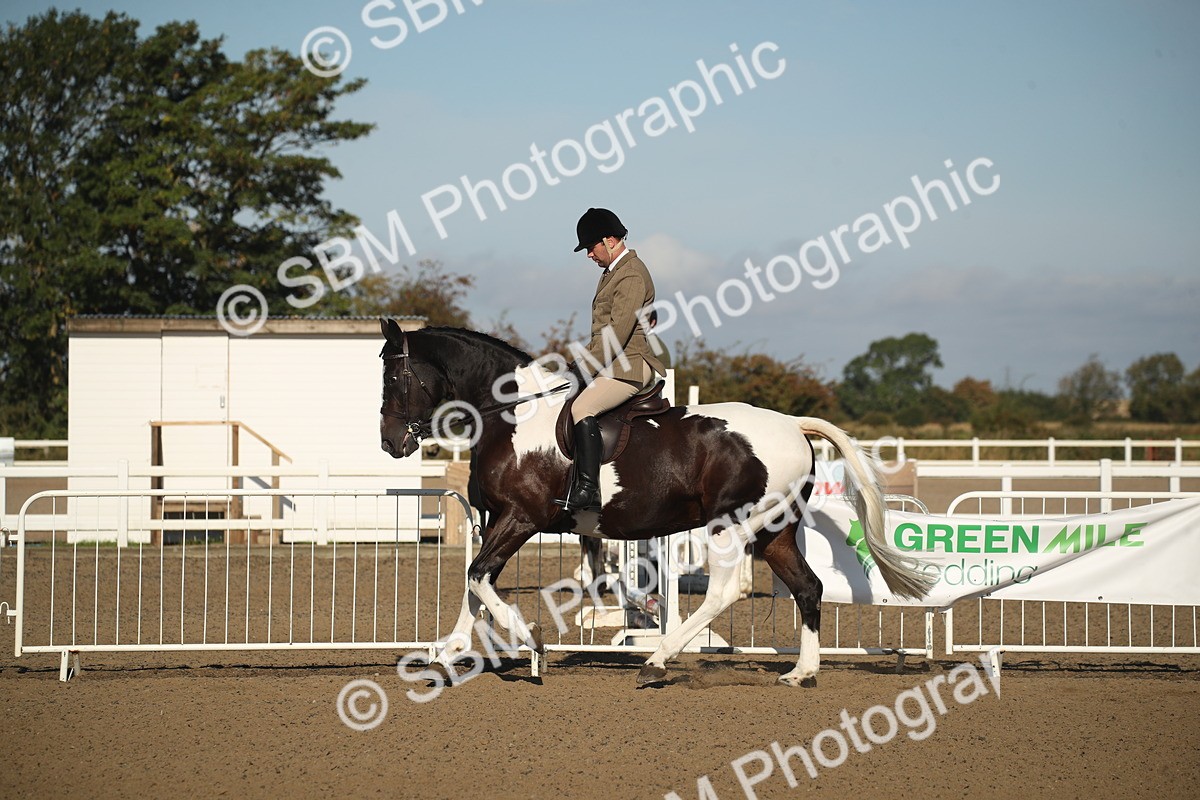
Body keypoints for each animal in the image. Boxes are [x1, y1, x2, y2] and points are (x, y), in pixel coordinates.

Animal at [378, 320, 933, 686]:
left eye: (393, 378)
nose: (390, 443)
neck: (514, 416)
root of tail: (793, 425)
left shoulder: (520, 518)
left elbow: (479, 577)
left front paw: (530, 641)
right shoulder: (497, 519)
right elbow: (474, 582)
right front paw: (448, 651)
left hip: (730, 525)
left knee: (726, 591)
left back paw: (659, 658)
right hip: (773, 529)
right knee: (808, 587)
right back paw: (802, 672)